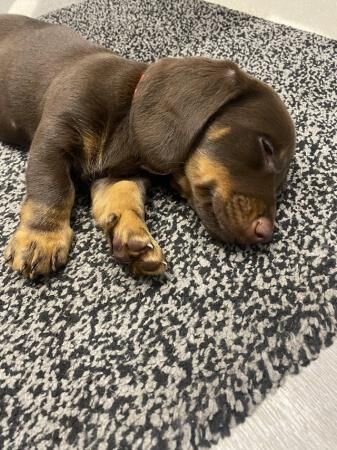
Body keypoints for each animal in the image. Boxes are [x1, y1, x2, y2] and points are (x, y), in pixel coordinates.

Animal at [0, 14, 294, 278]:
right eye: (266, 147)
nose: (265, 233)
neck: (127, 117)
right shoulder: (53, 140)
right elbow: (52, 189)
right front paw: (42, 238)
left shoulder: (121, 174)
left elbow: (124, 196)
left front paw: (133, 236)